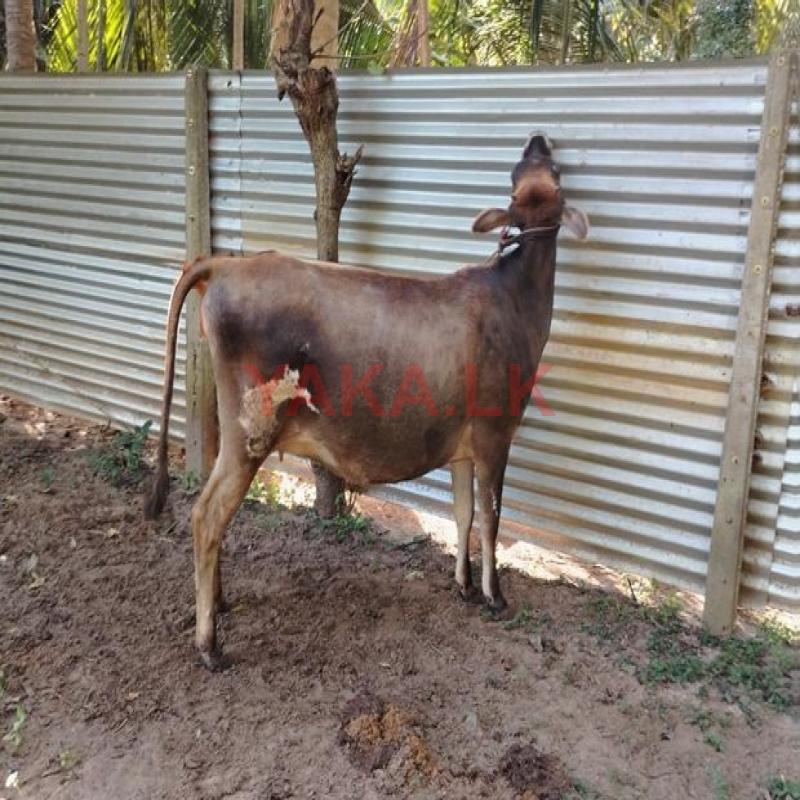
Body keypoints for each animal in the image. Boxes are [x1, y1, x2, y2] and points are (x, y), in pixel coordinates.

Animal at [145, 133, 588, 670]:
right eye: (535, 173)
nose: (539, 139)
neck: (516, 296)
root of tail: (228, 263)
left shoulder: (462, 444)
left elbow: (462, 512)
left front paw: (462, 584)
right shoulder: (494, 433)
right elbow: (490, 518)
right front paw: (494, 595)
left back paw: (222, 600)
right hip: (249, 430)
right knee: (206, 516)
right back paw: (209, 644)